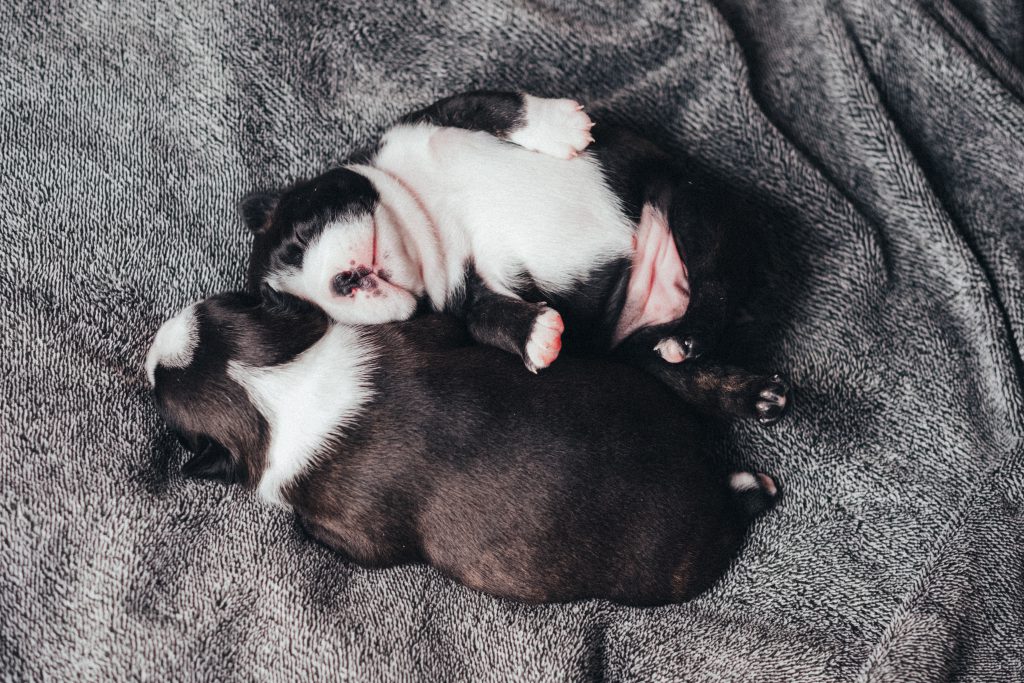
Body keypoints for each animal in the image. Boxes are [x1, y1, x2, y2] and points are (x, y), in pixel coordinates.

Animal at [144, 290, 774, 606]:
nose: (152, 356)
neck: (274, 383)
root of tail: (703, 475)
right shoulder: (423, 331)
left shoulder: (356, 532)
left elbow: (324, 531)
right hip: (642, 386)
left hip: (673, 572)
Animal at [243, 89, 786, 421]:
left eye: (300, 238)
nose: (343, 281)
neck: (423, 211)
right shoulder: (465, 297)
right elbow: (488, 315)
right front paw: (536, 335)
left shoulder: (439, 116)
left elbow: (503, 106)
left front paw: (562, 126)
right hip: (637, 353)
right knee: (680, 367)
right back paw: (752, 393)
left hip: (692, 206)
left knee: (713, 280)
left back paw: (697, 334)